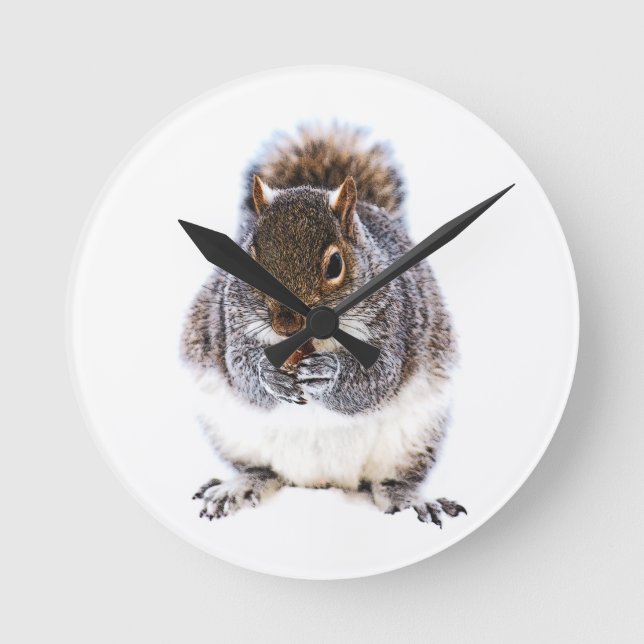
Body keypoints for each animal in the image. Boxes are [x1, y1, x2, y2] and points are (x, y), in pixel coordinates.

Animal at [182, 125, 466, 526]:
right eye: (247, 256)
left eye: (334, 265)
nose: (287, 326)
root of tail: (322, 482)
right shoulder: (230, 326)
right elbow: (241, 372)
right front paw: (268, 373)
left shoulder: (394, 325)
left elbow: (376, 380)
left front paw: (329, 373)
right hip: (232, 432)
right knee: (262, 470)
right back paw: (238, 487)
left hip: (414, 437)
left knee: (390, 481)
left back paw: (411, 500)